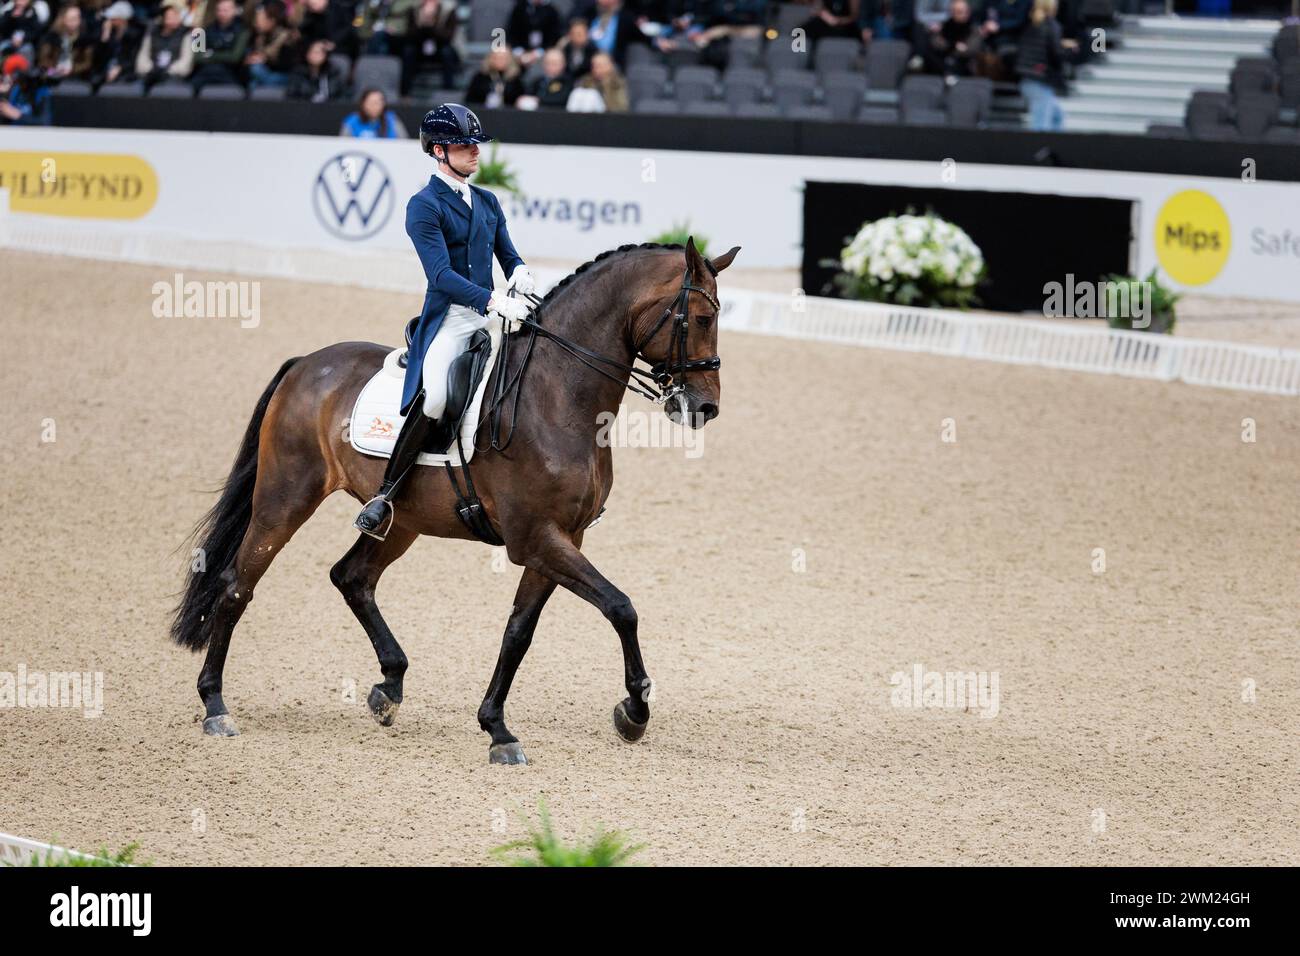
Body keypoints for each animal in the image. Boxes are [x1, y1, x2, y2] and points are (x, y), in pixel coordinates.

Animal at [171, 240, 738, 770]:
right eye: (702, 318)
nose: (704, 407)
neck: (557, 396)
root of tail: (305, 364)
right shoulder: (537, 538)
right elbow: (621, 607)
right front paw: (634, 712)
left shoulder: (559, 539)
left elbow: (519, 632)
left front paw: (498, 728)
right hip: (285, 498)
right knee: (237, 584)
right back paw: (216, 705)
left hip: (402, 520)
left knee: (351, 576)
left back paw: (388, 688)